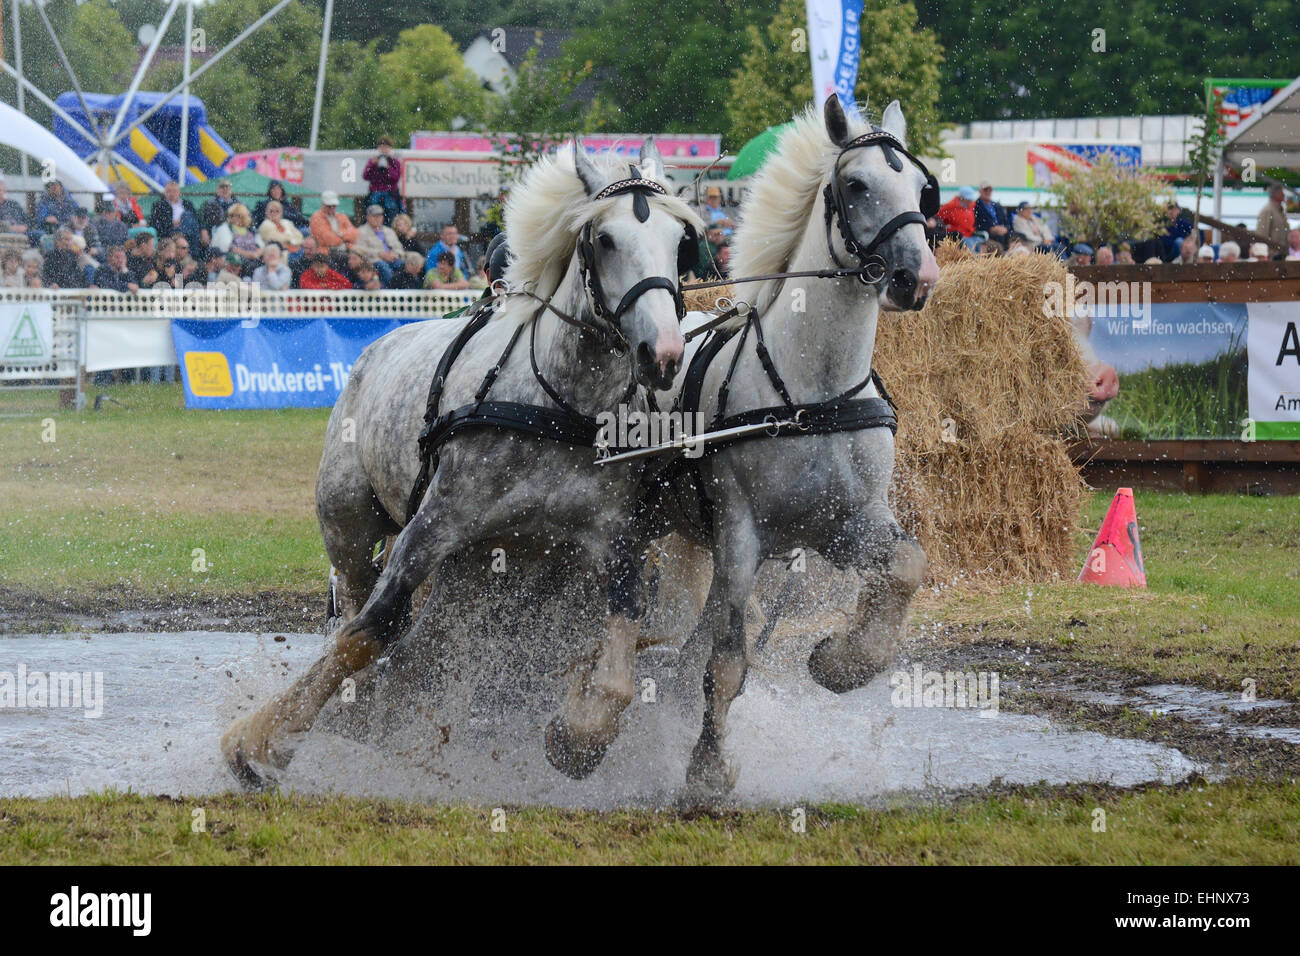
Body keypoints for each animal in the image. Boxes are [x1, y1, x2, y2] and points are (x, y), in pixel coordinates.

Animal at [221, 141, 705, 788]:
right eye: (603, 239)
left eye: (680, 241)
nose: (665, 353)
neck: (558, 403)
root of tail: (379, 344)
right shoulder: (434, 525)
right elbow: (369, 632)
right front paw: (257, 741)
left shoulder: (615, 539)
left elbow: (619, 668)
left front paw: (574, 736)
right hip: (350, 524)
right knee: (352, 609)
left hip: (477, 569)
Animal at [633, 96, 941, 797]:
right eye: (856, 186)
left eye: (922, 189)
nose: (916, 278)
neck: (813, 391)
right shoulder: (742, 535)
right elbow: (726, 664)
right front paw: (707, 769)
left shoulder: (845, 524)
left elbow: (907, 565)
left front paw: (844, 661)